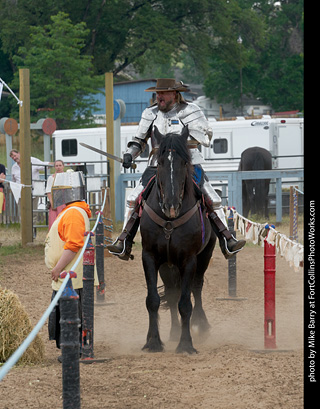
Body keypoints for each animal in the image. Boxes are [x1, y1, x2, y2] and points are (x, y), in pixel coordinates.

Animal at [141, 126, 216, 352]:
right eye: (160, 162)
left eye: (184, 162)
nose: (171, 205)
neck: (169, 221)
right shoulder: (150, 257)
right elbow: (153, 300)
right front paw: (153, 341)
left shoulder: (188, 259)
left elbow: (185, 303)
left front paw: (186, 344)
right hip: (167, 265)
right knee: (173, 293)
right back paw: (174, 332)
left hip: (204, 255)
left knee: (196, 288)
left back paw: (201, 324)